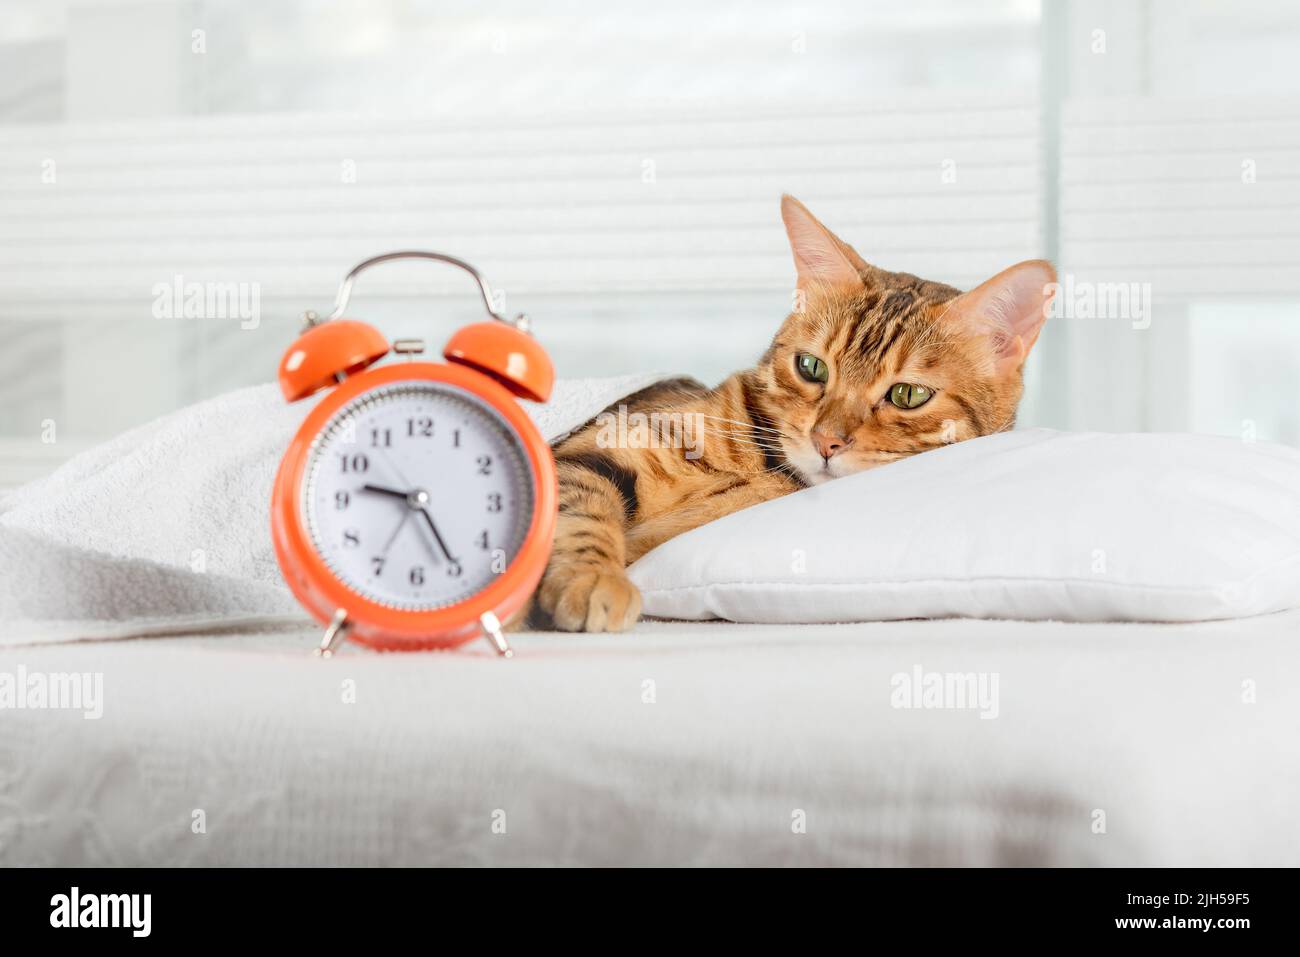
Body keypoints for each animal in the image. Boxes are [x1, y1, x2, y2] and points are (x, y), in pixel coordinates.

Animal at [525, 195, 1055, 631]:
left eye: (907, 395)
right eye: (811, 367)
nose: (826, 442)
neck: (767, 469)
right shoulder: (594, 448)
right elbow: (579, 509)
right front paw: (592, 579)